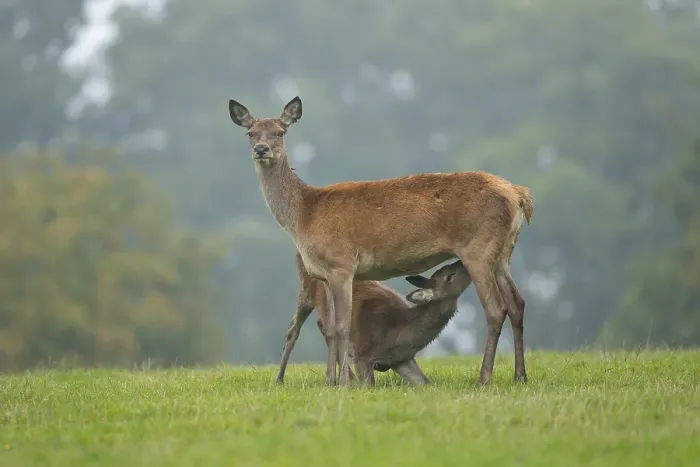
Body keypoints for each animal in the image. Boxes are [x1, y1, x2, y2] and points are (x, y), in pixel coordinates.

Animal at [276, 256, 472, 386]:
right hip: (305, 289)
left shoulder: (402, 360)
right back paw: (280, 379)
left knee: (323, 325)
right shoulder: (362, 353)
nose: (462, 261)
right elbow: (369, 385)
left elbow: (426, 382)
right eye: (450, 275)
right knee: (293, 330)